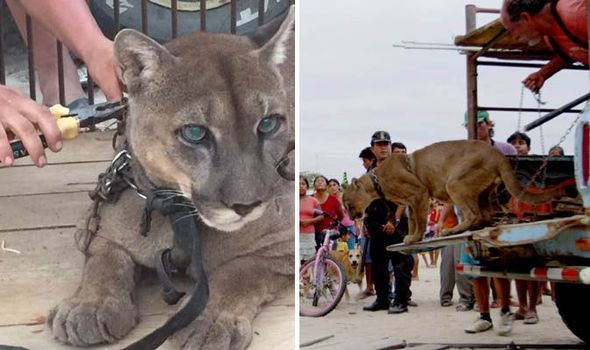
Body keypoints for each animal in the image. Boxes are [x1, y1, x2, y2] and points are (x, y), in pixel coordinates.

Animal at [344, 139, 560, 243]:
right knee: (485, 215)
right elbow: (413, 220)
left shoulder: (419, 193)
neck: (376, 180)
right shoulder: (412, 201)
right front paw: (411, 236)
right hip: (483, 192)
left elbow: (420, 221)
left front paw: (415, 238)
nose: (352, 216)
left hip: (455, 183)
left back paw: (451, 230)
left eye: (347, 204)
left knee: (474, 214)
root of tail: (497, 154)